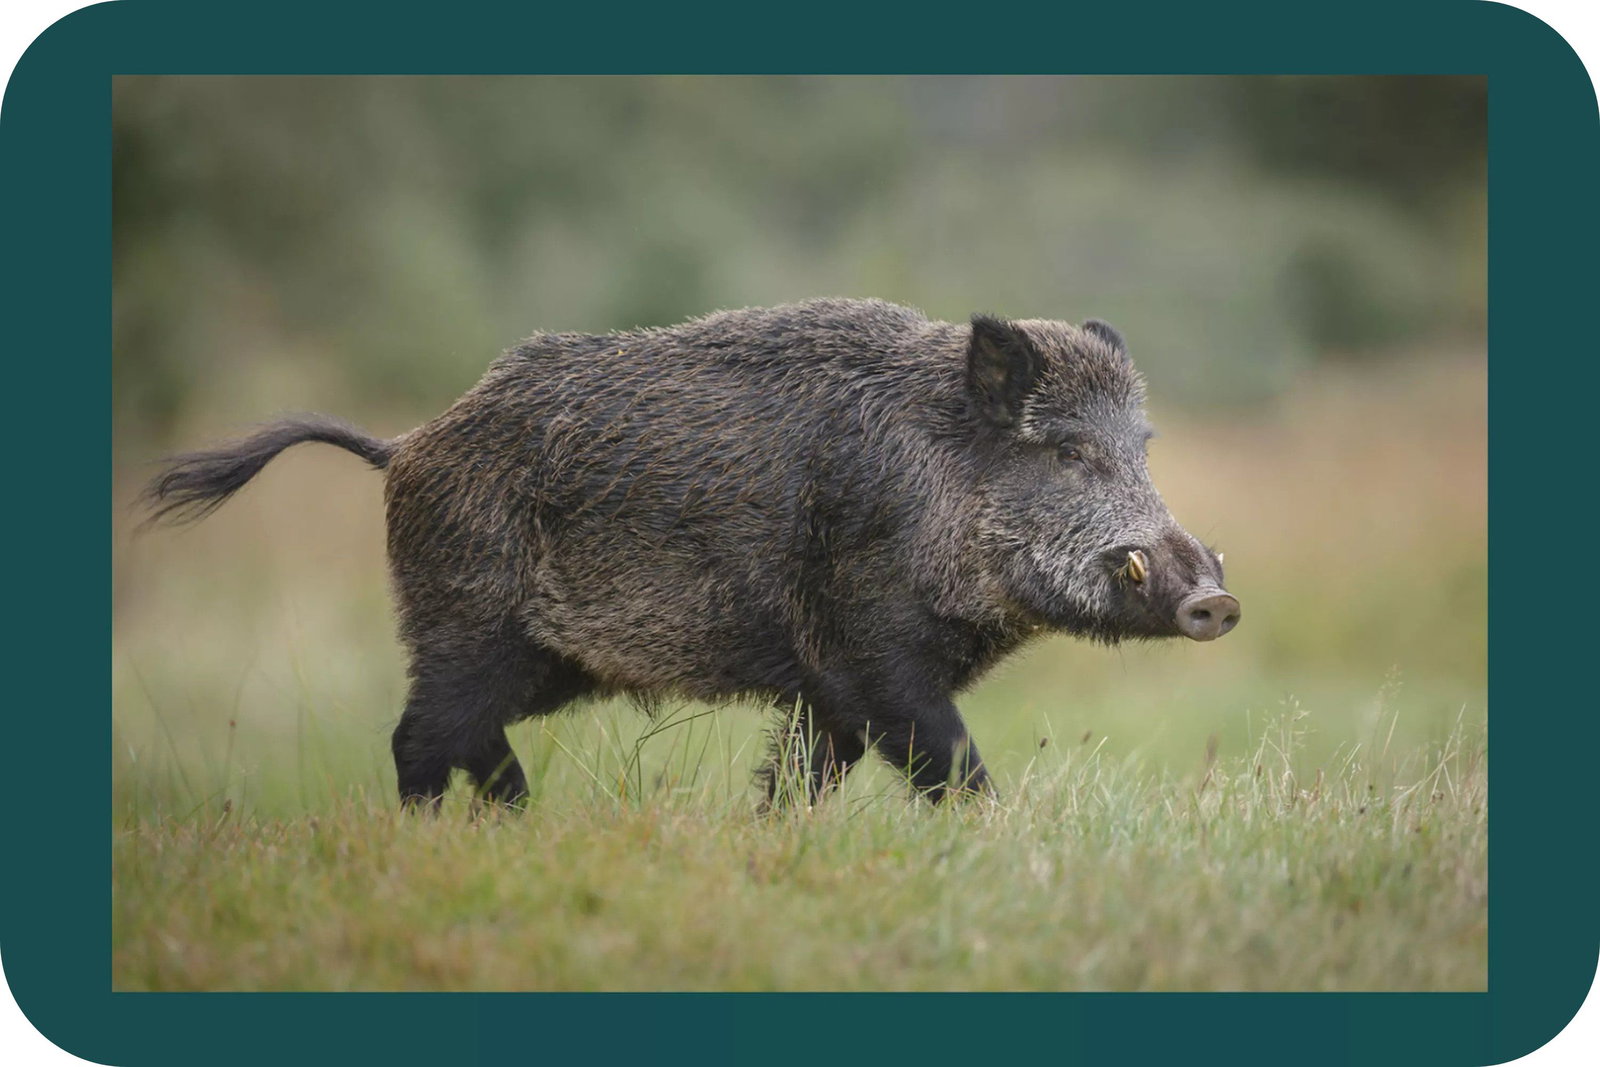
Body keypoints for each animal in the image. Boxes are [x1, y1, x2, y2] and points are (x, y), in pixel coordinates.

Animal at [144, 299, 1239, 810]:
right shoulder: (872, 653)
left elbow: (802, 777)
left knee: (468, 738)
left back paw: (522, 822)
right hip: (465, 622)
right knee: (420, 736)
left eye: (1141, 447)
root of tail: (405, 445)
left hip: (542, 658)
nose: (1216, 600)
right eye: (1065, 450)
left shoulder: (826, 688)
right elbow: (949, 762)